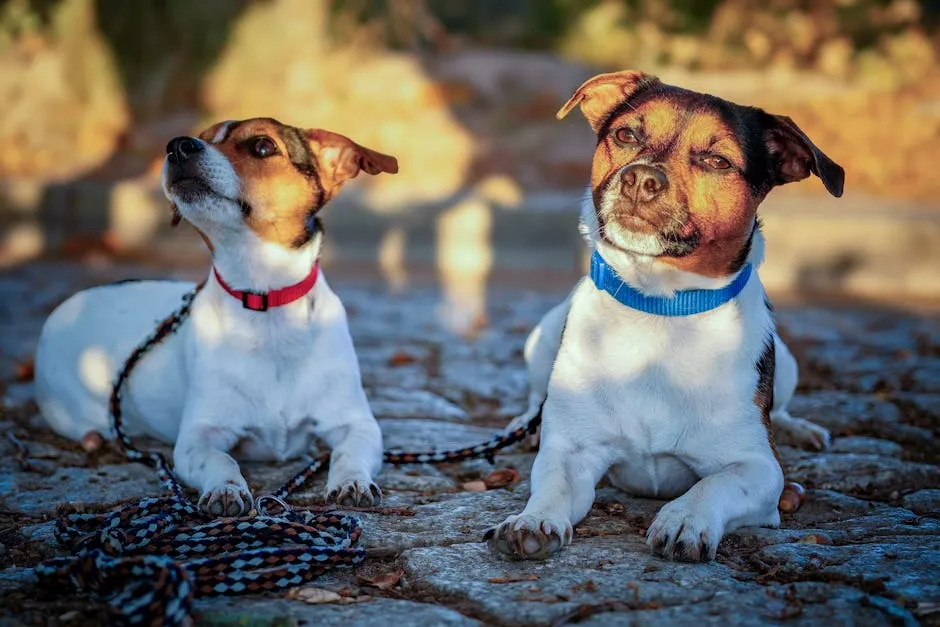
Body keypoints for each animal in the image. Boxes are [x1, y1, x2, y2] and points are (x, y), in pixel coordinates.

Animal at [34, 116, 396, 516]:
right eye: (202, 137)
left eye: (262, 146)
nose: (177, 146)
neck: (264, 298)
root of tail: (66, 306)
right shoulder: (199, 436)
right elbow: (221, 460)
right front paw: (226, 489)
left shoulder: (358, 425)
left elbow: (348, 453)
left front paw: (352, 482)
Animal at [488, 68, 840, 564]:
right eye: (626, 135)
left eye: (717, 161)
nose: (639, 179)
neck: (660, 305)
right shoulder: (574, 453)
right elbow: (552, 487)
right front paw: (532, 520)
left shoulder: (759, 470)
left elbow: (713, 486)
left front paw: (684, 519)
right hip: (541, 338)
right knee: (536, 396)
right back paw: (525, 427)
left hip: (787, 363)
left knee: (783, 407)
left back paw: (799, 428)